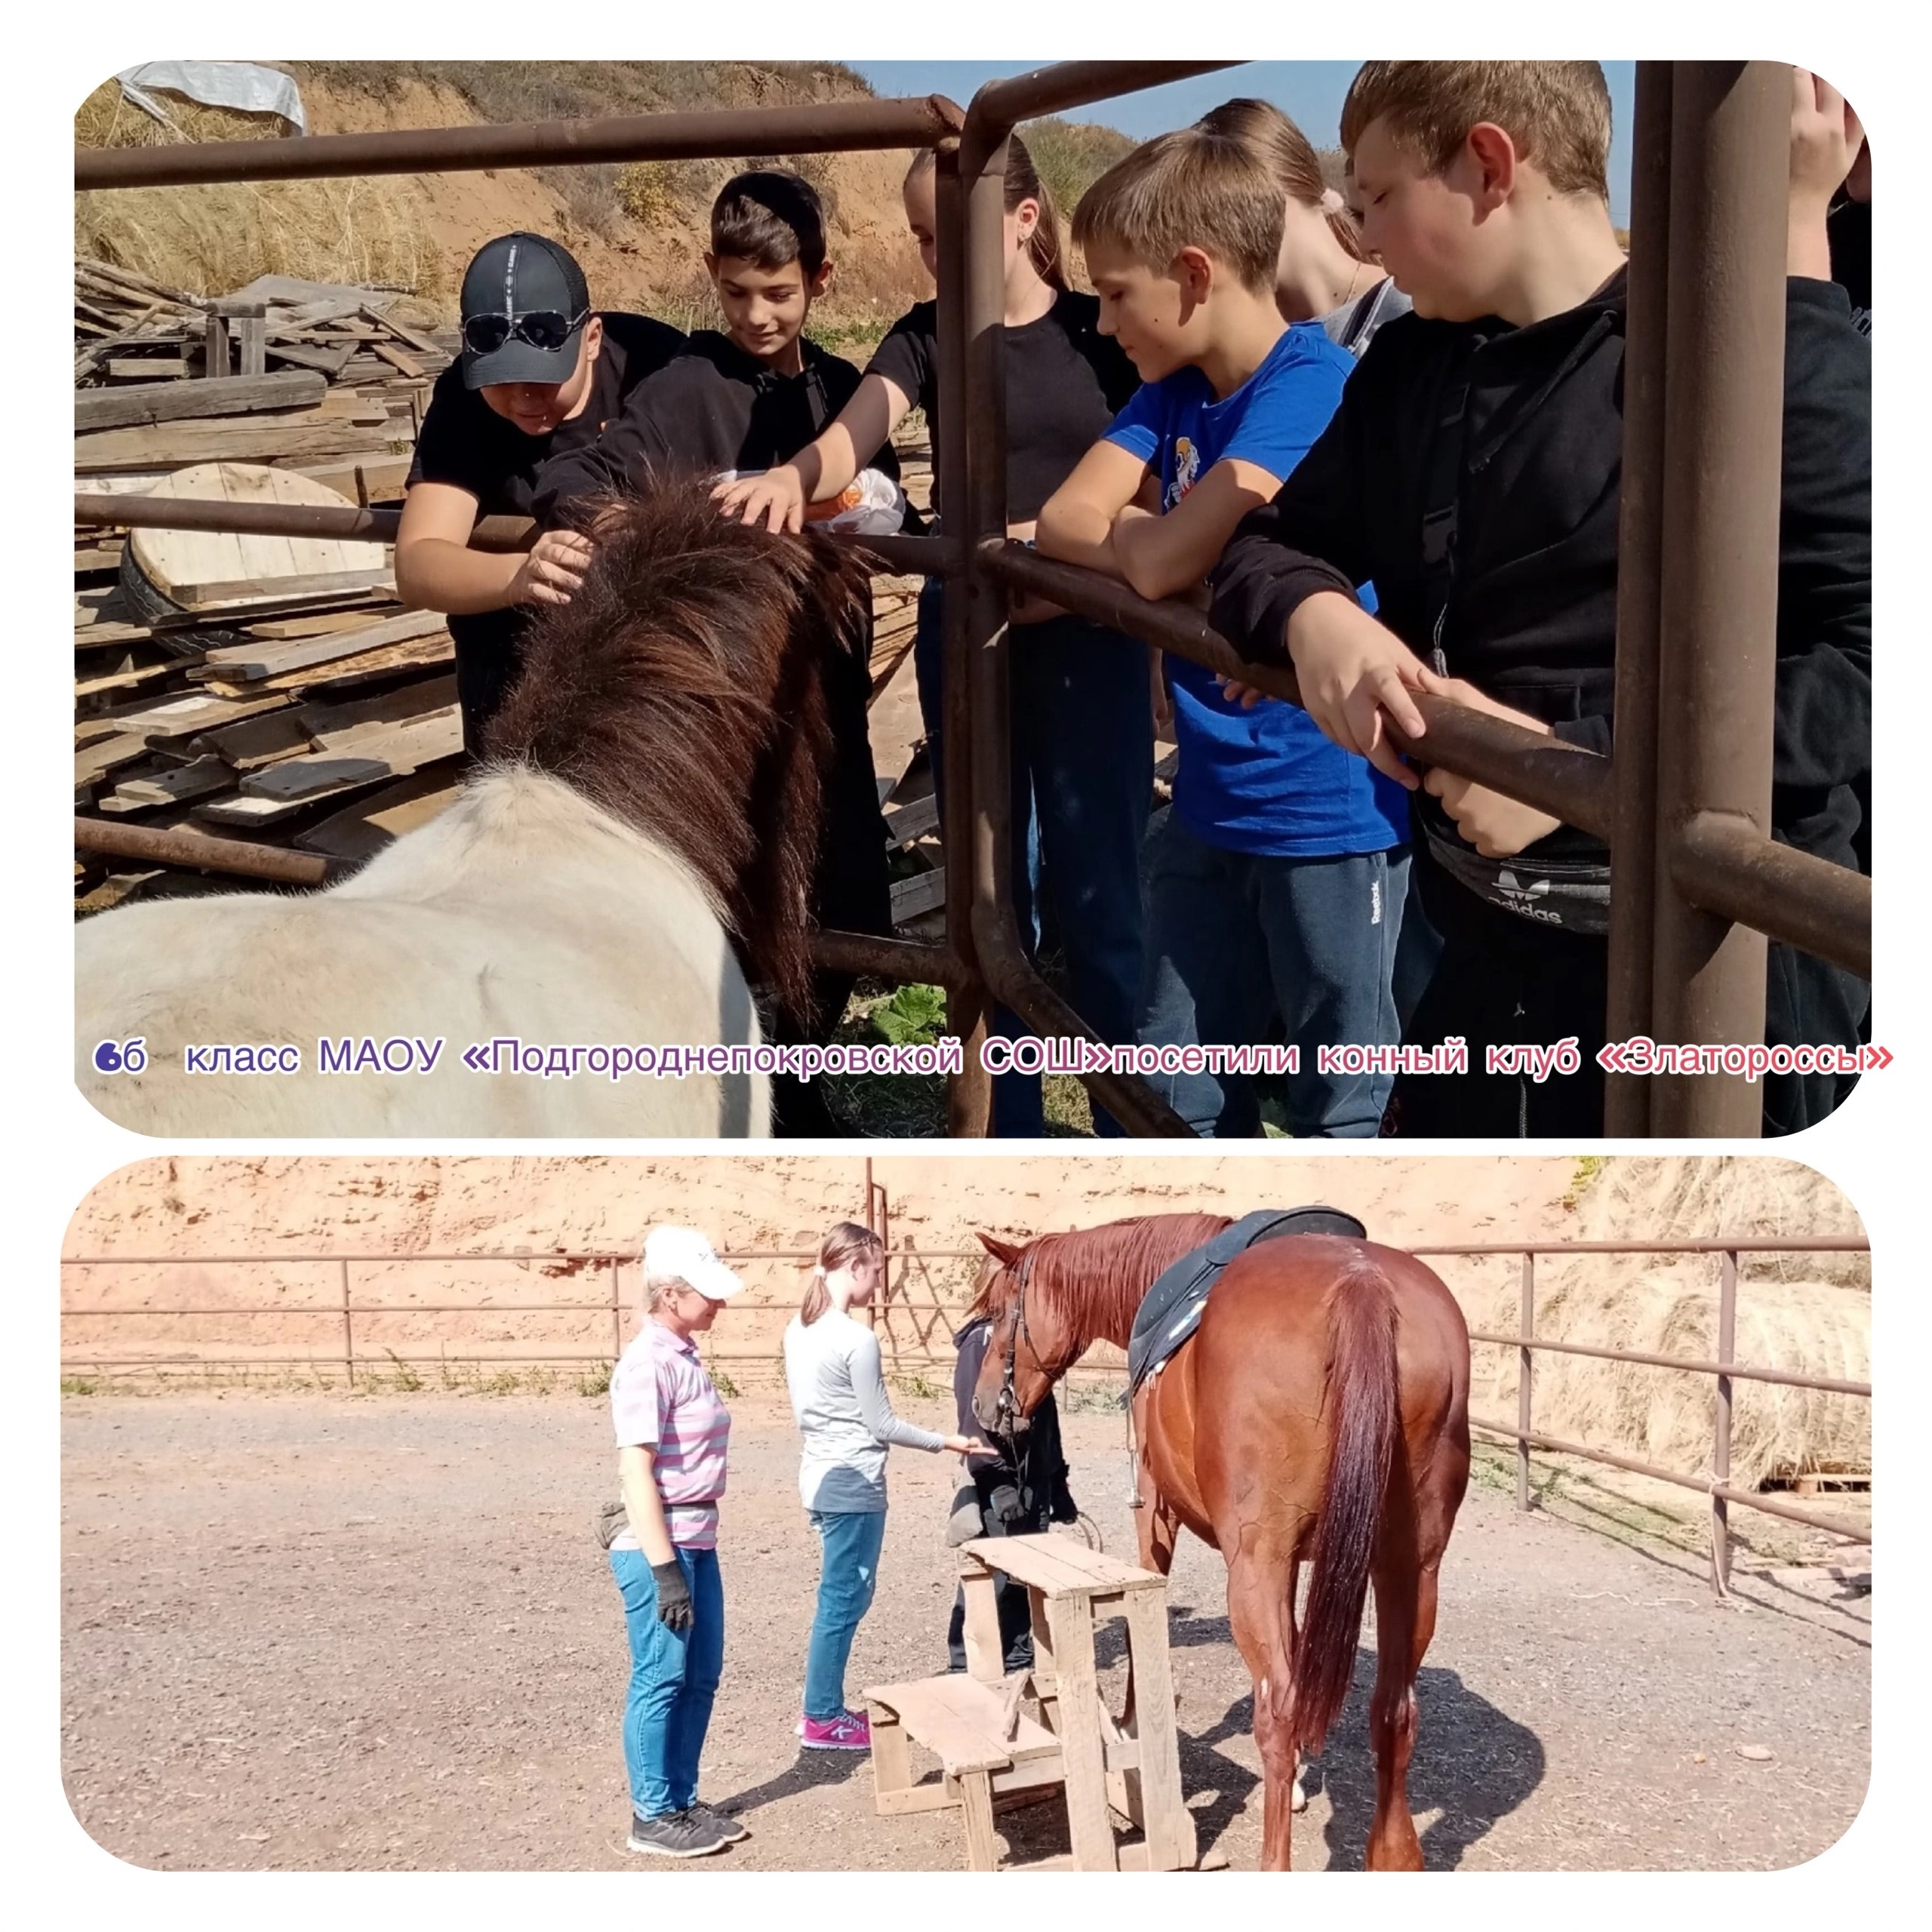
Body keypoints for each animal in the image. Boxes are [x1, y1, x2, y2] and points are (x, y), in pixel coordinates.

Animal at [974, 1220, 1468, 1870]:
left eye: (1000, 1312)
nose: (983, 1406)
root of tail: (1360, 1284)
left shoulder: (1157, 1512)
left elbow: (1144, 1626)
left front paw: (1133, 1729)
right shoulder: (1293, 1562)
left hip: (1258, 1566)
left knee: (1280, 1714)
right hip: (1410, 1567)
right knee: (1393, 1712)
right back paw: (1394, 1854)